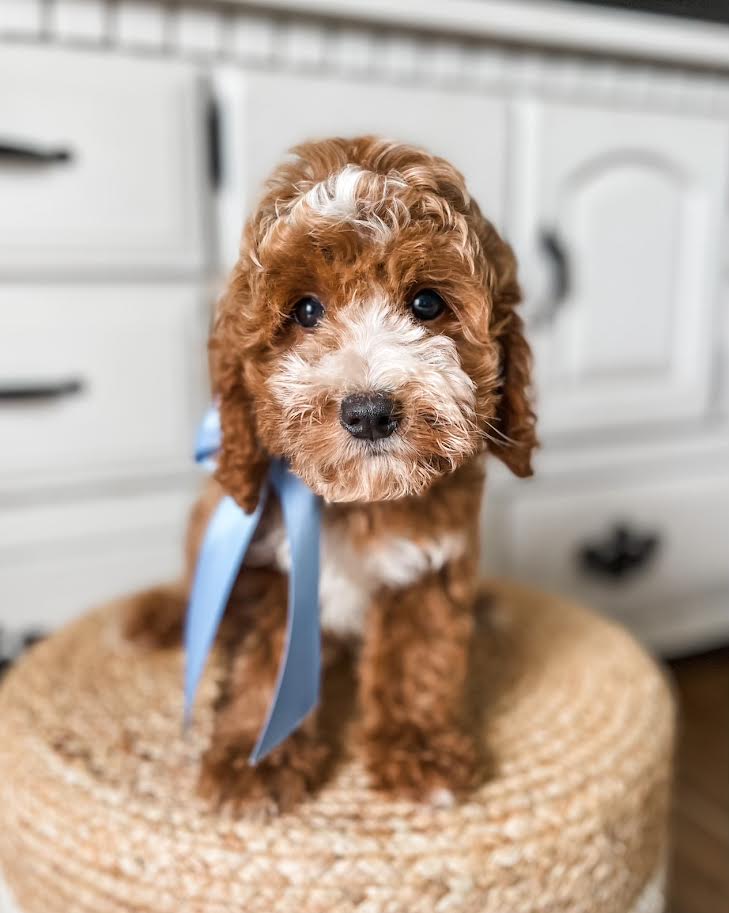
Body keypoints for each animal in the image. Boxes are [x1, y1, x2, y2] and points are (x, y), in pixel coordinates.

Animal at [125, 137, 536, 812]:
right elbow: (264, 665)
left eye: (426, 302)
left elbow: (418, 659)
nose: (369, 412)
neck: (352, 500)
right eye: (306, 310)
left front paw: (418, 751)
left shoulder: (431, 563)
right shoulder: (263, 569)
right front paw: (254, 758)